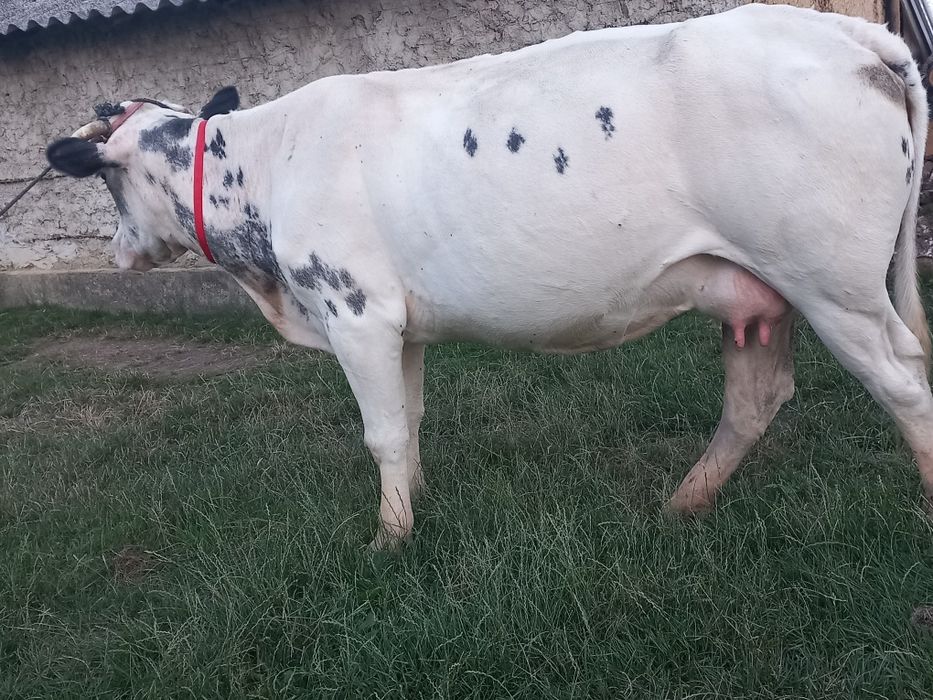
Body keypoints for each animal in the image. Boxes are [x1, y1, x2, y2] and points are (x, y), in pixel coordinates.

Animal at [46, 4, 933, 548]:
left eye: (106, 178)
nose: (120, 250)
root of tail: (842, 34)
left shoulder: (353, 309)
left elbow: (380, 428)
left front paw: (387, 539)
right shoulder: (399, 322)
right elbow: (409, 419)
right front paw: (415, 502)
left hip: (832, 282)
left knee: (902, 382)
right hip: (754, 286)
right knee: (757, 397)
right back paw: (682, 502)